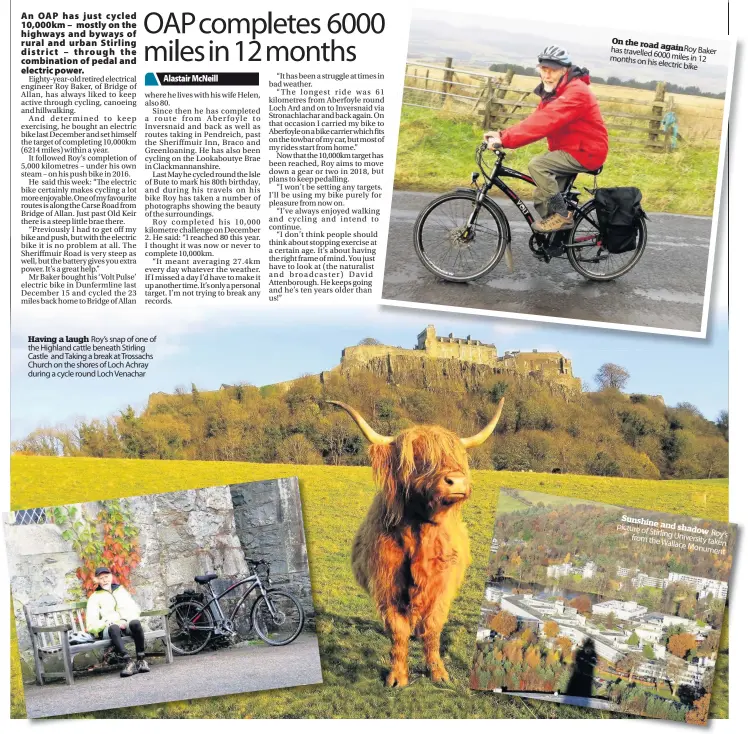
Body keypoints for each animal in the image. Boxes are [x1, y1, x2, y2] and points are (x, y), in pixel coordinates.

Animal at [326, 400, 502, 688]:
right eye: (418, 457)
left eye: (458, 457)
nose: (457, 481)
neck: (421, 533)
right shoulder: (387, 584)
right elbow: (397, 631)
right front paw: (397, 677)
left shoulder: (441, 586)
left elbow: (433, 628)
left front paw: (438, 673)